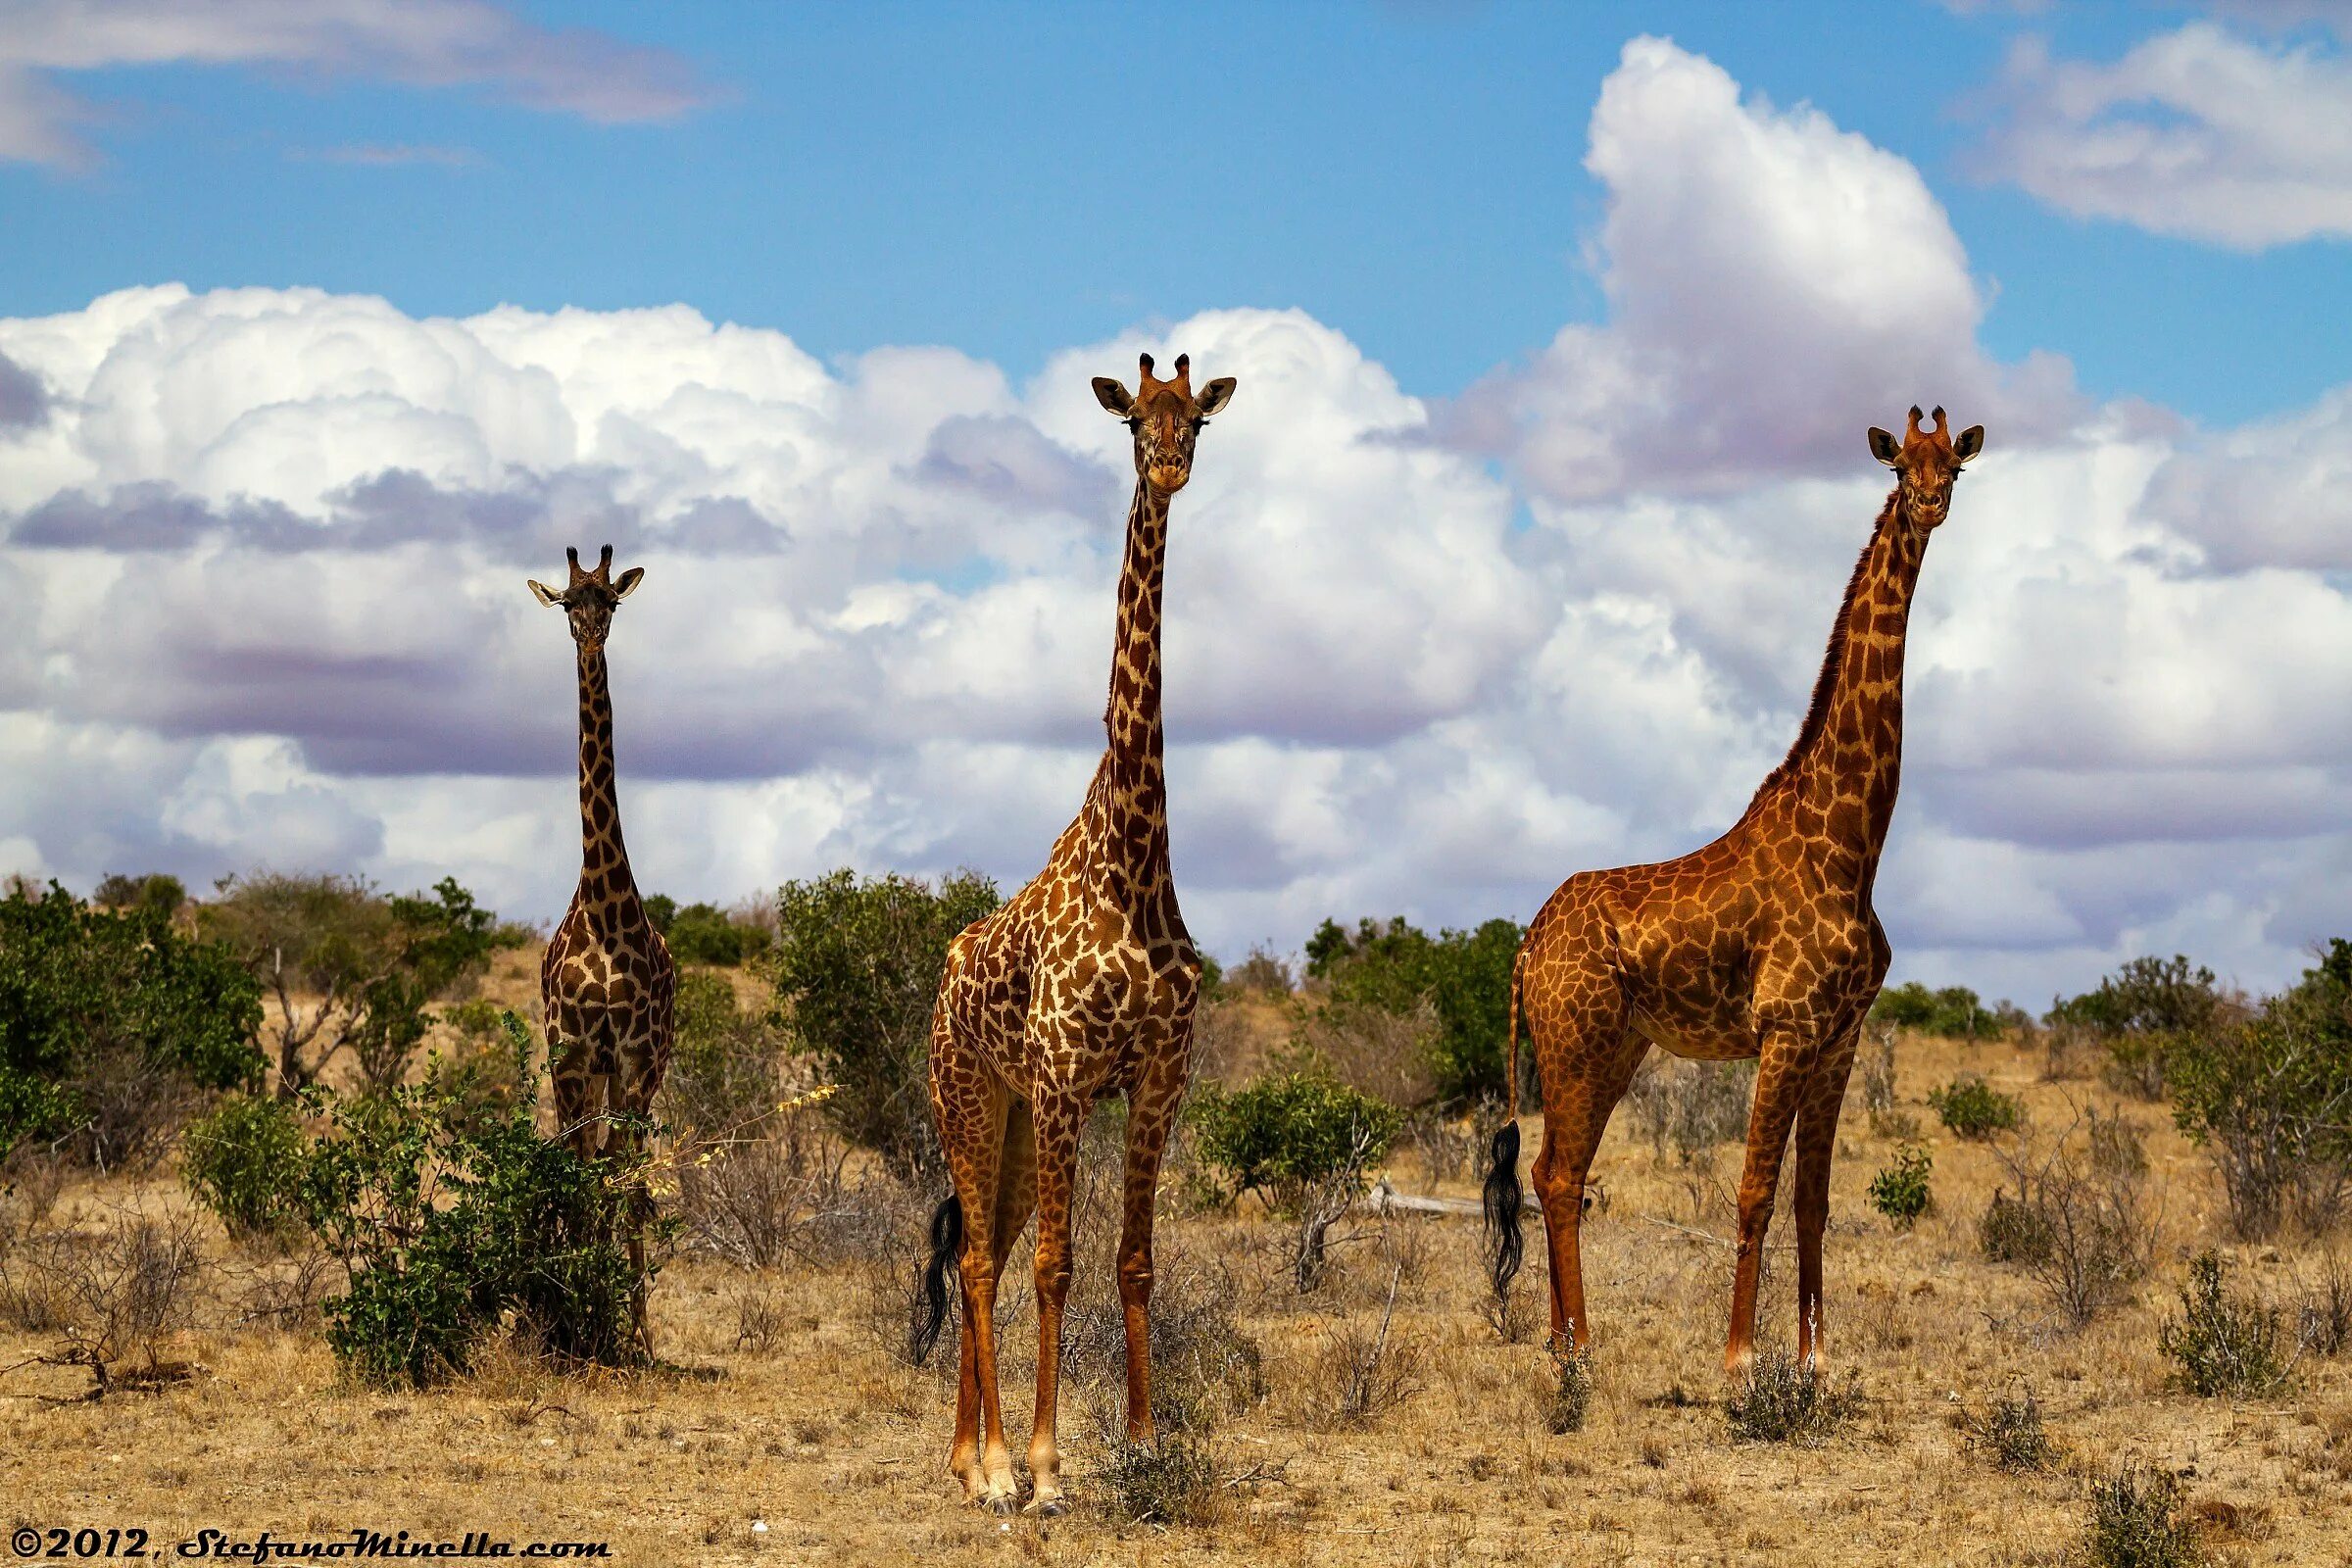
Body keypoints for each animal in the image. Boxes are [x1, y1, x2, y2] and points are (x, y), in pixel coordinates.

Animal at [912, 352, 1242, 1504]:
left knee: (986, 1253)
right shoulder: (1063, 1076)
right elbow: (1059, 1266)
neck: (1135, 859)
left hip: (1009, 1119)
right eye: (1132, 422)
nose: (1173, 466)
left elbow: (1131, 1259)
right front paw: (1049, 1468)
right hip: (970, 1099)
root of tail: (941, 986)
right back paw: (992, 1465)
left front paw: (1139, 1445)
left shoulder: (1158, 1074)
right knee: (980, 1260)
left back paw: (966, 1456)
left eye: (1195, 418)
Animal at [1486, 404, 1984, 1372]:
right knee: (1559, 1174)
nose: (1931, 504)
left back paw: (1566, 1341)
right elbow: (1753, 1192)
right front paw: (1740, 1358)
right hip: (1574, 1042)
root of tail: (1525, 945)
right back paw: (1580, 1349)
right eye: (1901, 466)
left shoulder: (1839, 1038)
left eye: (1956, 466)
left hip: (1615, 1047)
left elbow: (1812, 1201)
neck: (1855, 847)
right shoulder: (1785, 1027)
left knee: (1553, 1169)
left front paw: (1815, 1358)